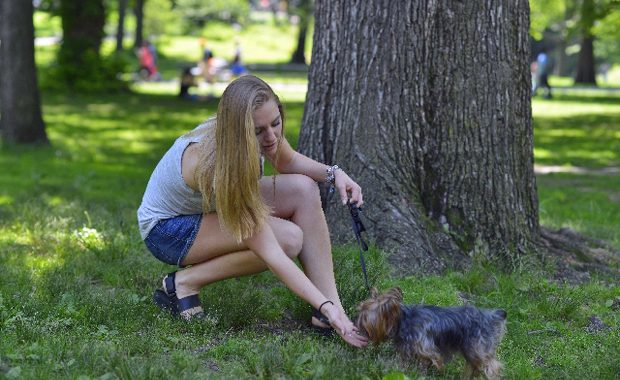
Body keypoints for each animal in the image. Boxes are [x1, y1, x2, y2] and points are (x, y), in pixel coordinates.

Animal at [356, 286, 506, 378]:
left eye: (365, 317)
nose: (356, 323)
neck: (403, 320)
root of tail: (491, 316)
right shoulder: (406, 350)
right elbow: (402, 364)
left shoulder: (427, 349)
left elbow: (426, 362)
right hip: (471, 351)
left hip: (477, 348)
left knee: (492, 366)